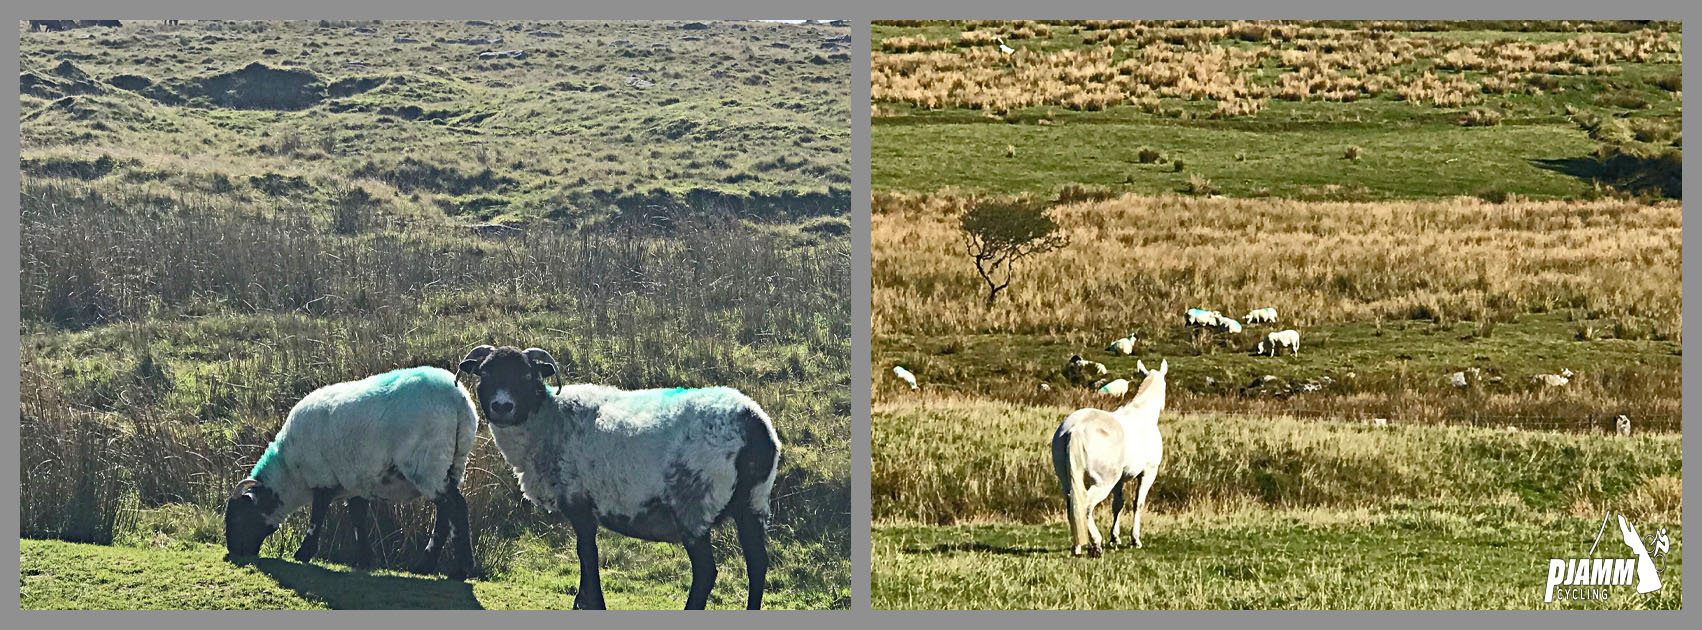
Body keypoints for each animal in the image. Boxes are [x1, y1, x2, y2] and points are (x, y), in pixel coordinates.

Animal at [224, 366, 479, 580]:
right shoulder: (356, 483)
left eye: (237, 517)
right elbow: (358, 519)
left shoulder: (321, 476)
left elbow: (317, 516)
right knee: (445, 512)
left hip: (428, 463)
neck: (291, 473)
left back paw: (460, 569)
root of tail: (458, 400)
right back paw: (425, 566)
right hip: (454, 464)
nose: (233, 552)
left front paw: (303, 554)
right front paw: (364, 560)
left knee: (456, 507)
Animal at [458, 345, 781, 610]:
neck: (548, 420)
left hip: (694, 503)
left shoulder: (578, 501)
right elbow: (586, 553)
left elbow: (586, 552)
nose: (502, 406)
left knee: (706, 572)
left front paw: (591, 603)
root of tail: (754, 426)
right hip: (753, 502)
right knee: (757, 563)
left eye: (526, 375)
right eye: (484, 373)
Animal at [1050, 359, 1168, 557]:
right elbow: (1138, 503)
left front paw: (1115, 538)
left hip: (1067, 482)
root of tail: (1075, 429)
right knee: (1086, 507)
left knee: (1073, 506)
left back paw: (1077, 547)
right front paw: (1135, 540)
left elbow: (1118, 504)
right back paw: (1096, 543)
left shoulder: (1119, 480)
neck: (1141, 414)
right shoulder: (1148, 473)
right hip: (1103, 483)